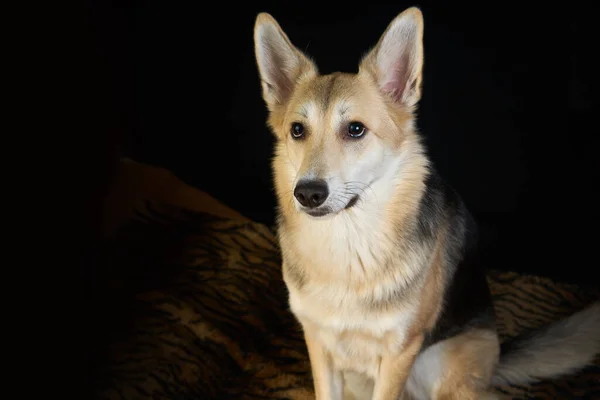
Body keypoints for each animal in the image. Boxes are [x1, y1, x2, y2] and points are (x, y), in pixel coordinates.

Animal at [252, 7, 600, 400]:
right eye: (297, 131)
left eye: (355, 129)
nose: (308, 193)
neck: (349, 248)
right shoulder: (319, 345)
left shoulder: (399, 353)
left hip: (439, 366)